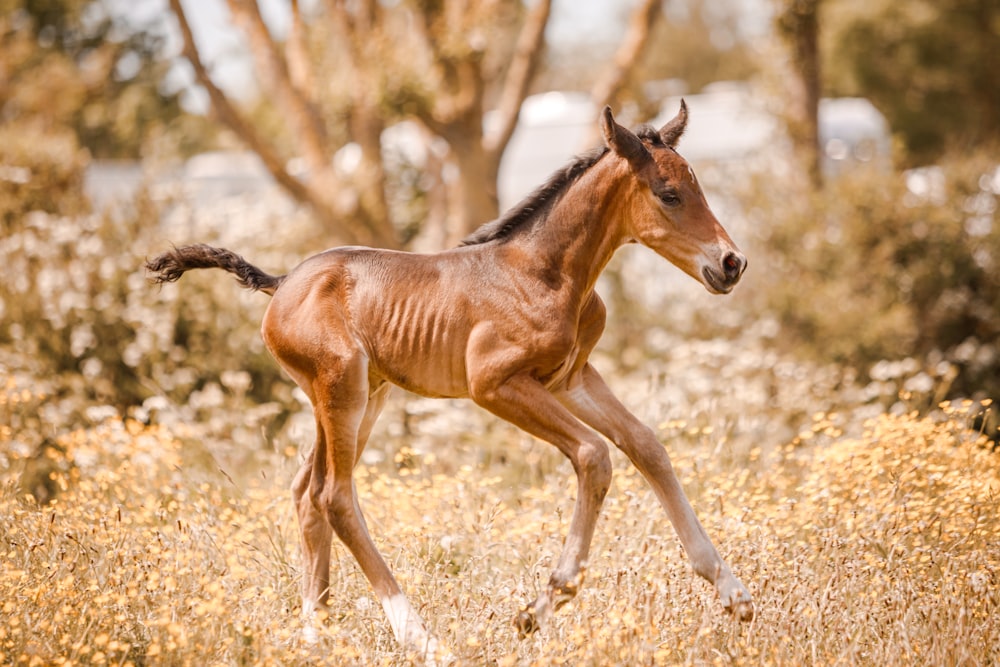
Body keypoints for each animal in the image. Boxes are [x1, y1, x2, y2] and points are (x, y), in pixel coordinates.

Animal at [146, 104, 752, 664]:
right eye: (669, 194)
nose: (731, 263)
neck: (544, 272)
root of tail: (282, 283)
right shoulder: (495, 384)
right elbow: (594, 455)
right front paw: (538, 609)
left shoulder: (572, 377)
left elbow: (646, 446)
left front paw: (733, 593)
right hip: (342, 389)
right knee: (334, 496)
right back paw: (420, 637)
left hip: (360, 396)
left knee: (306, 492)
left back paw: (316, 636)